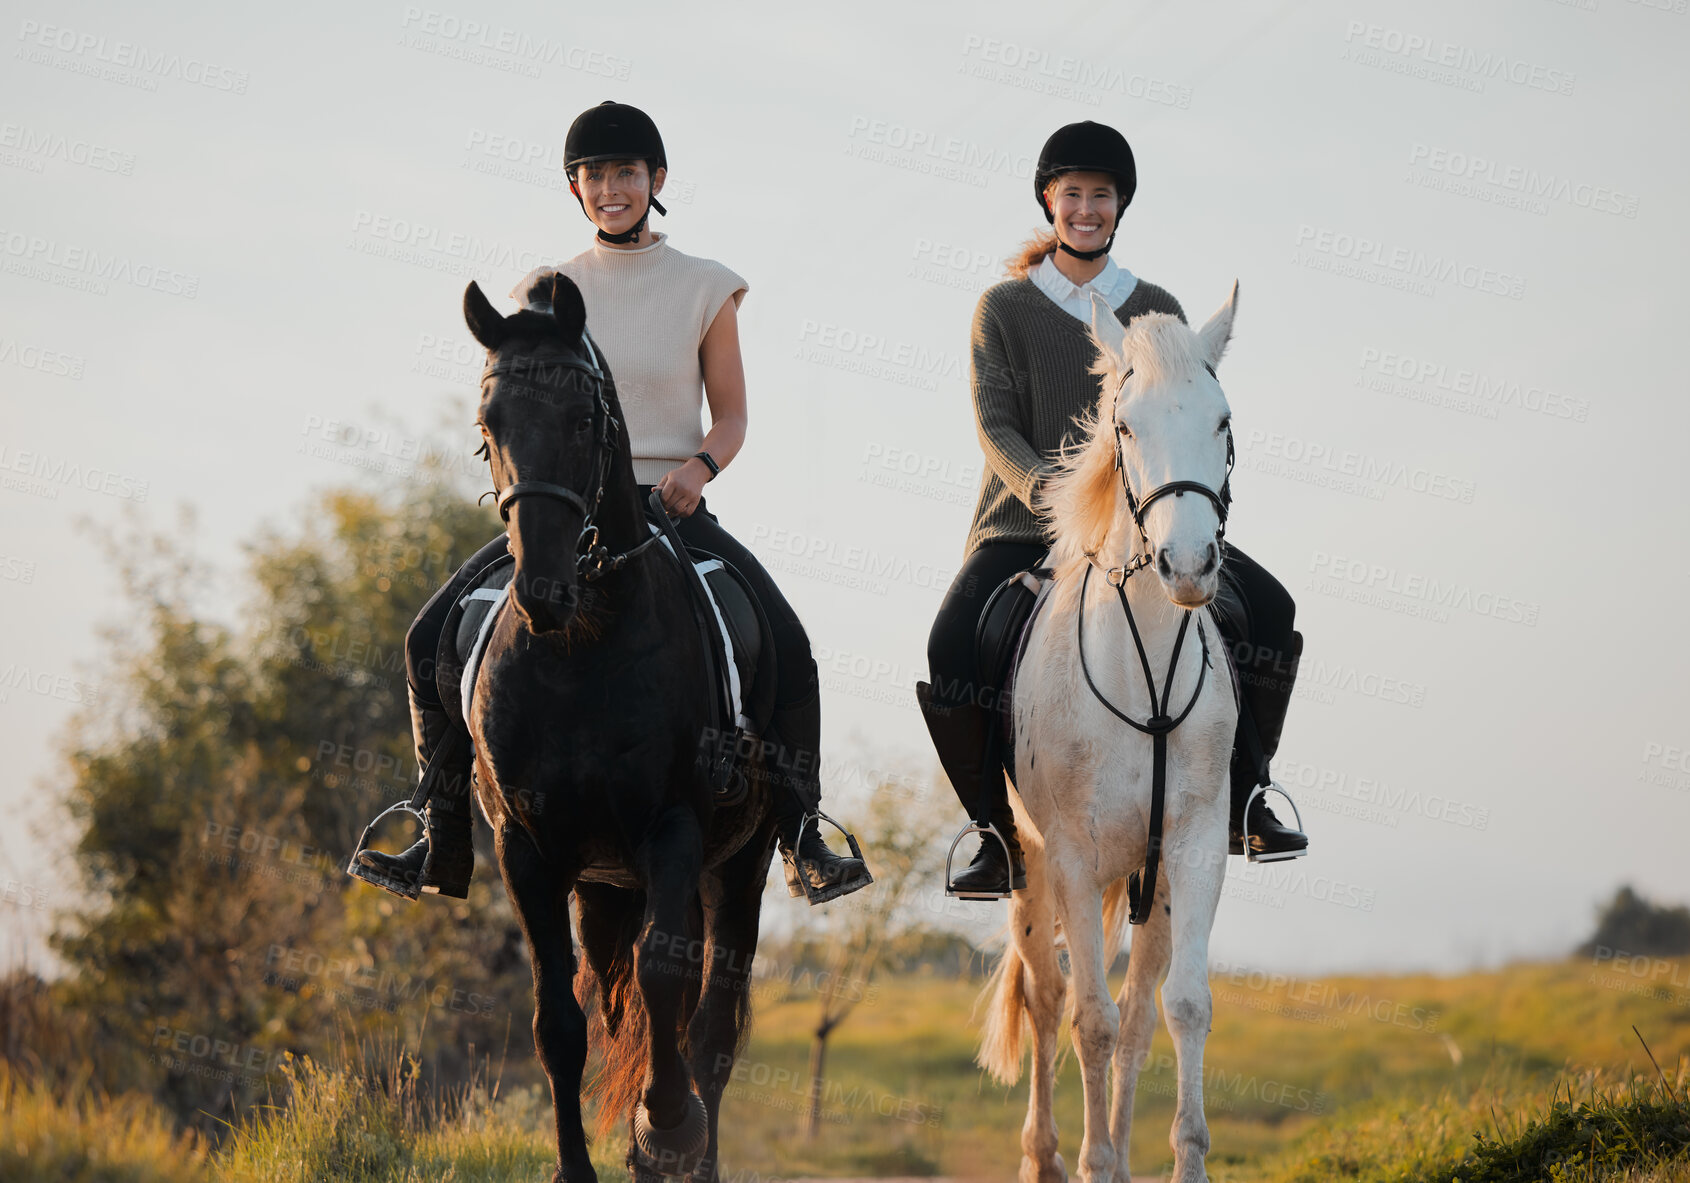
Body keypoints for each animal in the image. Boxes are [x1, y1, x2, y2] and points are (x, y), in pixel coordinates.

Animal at [459, 272, 780, 1176]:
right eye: (488, 425)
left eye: (583, 418)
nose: (543, 588)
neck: (582, 646)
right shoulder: (525, 846)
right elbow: (558, 1021)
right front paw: (582, 1161)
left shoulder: (670, 828)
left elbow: (667, 985)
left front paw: (665, 1124)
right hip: (604, 883)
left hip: (740, 867)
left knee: (709, 1031)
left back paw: (688, 1146)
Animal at [980, 282, 1243, 1176]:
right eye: (1126, 427)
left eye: (1222, 421)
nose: (1189, 566)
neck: (1146, 669)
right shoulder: (1070, 852)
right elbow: (1084, 1018)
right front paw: (1095, 1159)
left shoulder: (1194, 849)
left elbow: (1183, 1005)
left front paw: (1183, 1157)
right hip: (1029, 868)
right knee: (1047, 992)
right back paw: (1046, 1154)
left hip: (1148, 883)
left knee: (1135, 1009)